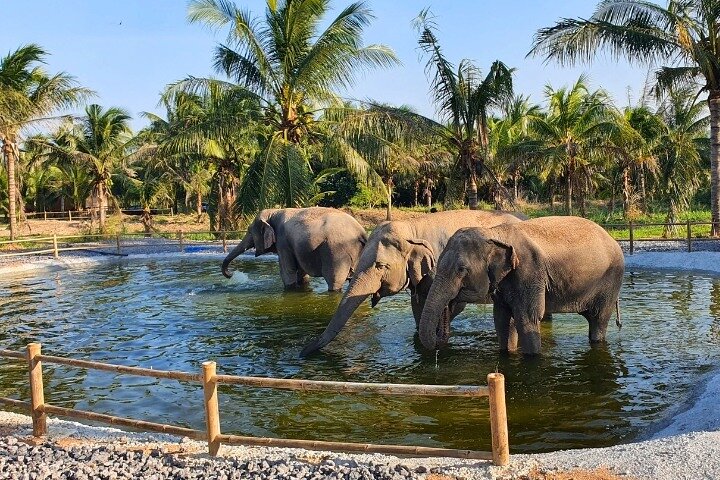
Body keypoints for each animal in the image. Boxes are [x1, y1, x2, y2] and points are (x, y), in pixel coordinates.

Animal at [221, 207, 367, 292]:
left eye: (249, 231)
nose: (231, 274)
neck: (272, 212)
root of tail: (361, 232)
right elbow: (300, 272)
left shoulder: (283, 242)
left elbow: (287, 270)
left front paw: (289, 289)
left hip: (336, 252)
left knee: (334, 280)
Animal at [418, 216, 624, 355]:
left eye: (461, 270)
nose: (439, 344)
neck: (493, 233)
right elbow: (502, 319)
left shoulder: (529, 271)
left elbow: (527, 318)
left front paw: (532, 356)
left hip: (611, 281)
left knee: (599, 319)